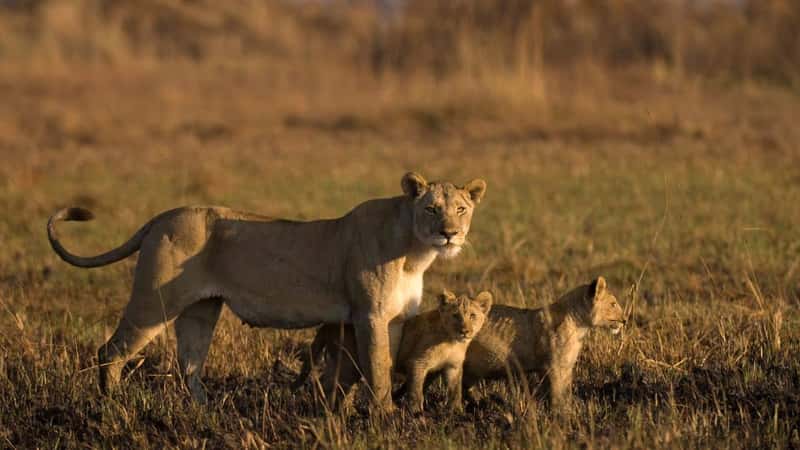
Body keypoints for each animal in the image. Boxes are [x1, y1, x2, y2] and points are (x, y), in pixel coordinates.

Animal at [295, 290, 492, 412]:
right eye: (455, 316)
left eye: (472, 316)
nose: (465, 331)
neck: (452, 341)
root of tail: (330, 323)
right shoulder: (417, 362)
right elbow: (416, 389)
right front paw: (416, 412)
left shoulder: (453, 367)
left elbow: (454, 390)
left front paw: (456, 411)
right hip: (348, 360)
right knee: (330, 382)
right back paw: (331, 411)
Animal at [461, 277, 625, 408]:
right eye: (613, 304)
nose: (624, 320)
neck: (579, 325)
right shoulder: (553, 367)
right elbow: (557, 395)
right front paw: (561, 416)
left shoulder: (565, 367)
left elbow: (565, 393)